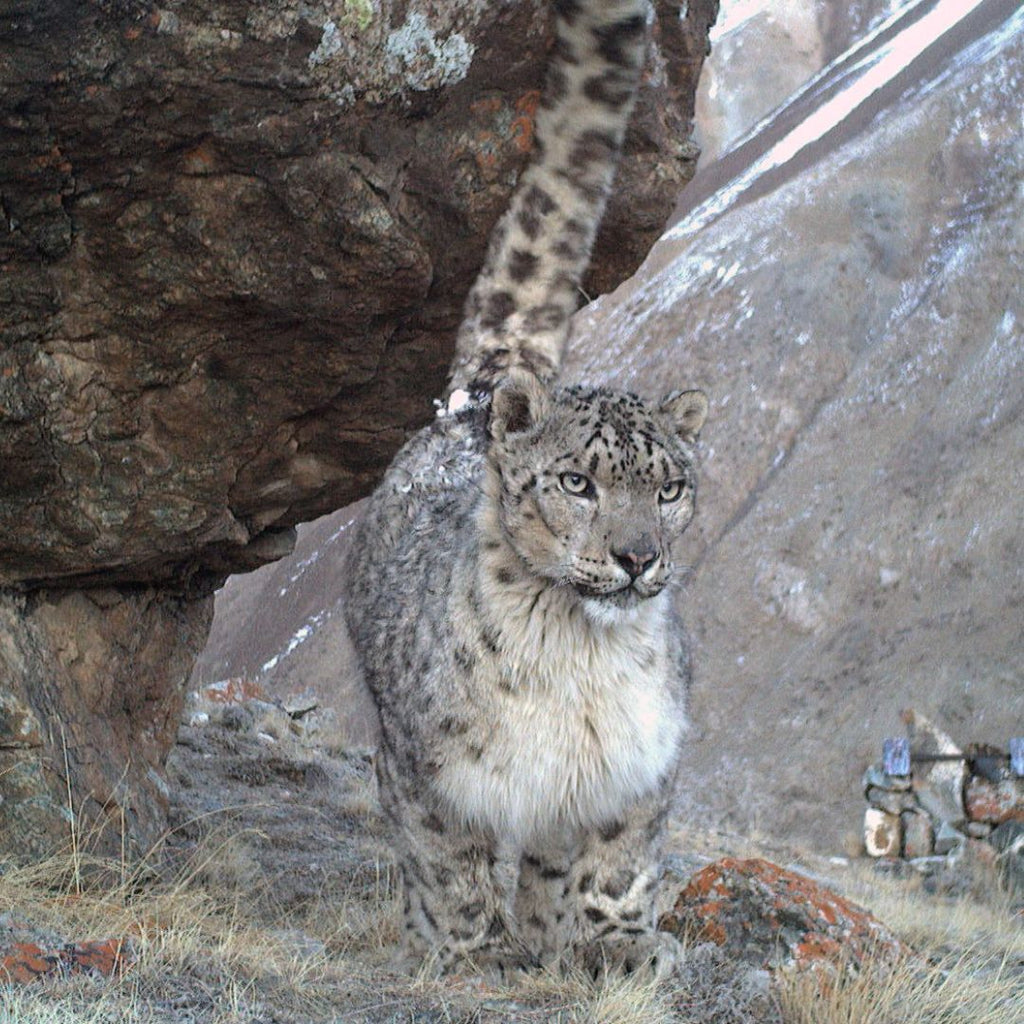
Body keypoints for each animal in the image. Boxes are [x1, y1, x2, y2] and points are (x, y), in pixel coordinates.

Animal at [344, 0, 708, 979]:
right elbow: (448, 859)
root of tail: (473, 400)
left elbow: (618, 860)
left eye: (670, 489)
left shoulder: (643, 763)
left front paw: (620, 946)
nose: (637, 557)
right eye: (577, 481)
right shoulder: (424, 766)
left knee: (547, 856)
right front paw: (477, 949)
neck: (579, 662)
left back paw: (552, 937)